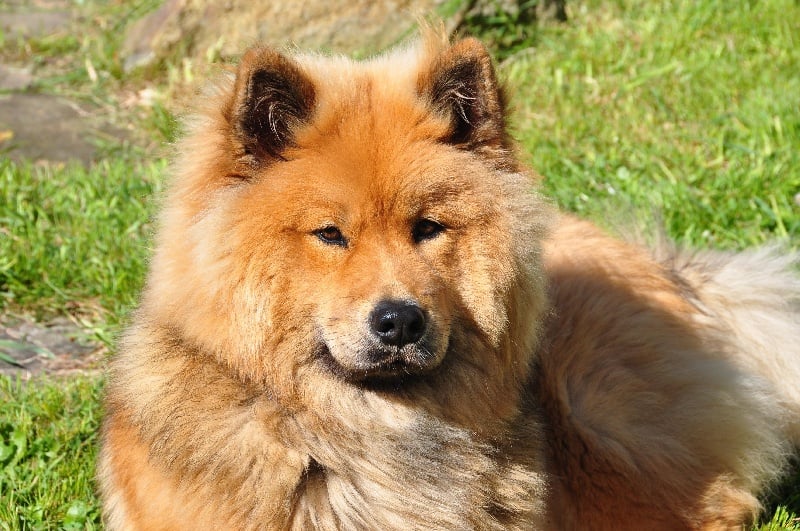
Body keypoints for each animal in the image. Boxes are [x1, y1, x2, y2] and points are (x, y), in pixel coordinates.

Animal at [97, 31, 800, 529]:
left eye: (428, 228)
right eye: (331, 235)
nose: (400, 320)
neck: (374, 434)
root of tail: (676, 274)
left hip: (593, 408)